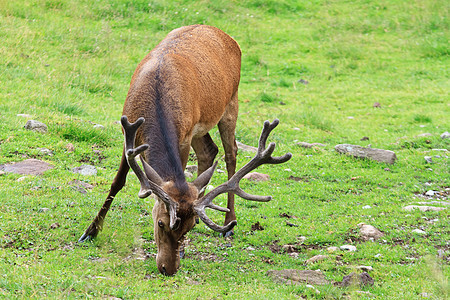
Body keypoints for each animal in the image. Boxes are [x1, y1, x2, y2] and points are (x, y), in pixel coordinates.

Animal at [78, 24, 292, 276]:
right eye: (161, 223)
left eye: (187, 228)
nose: (168, 269)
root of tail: (223, 33)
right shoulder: (127, 130)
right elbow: (117, 182)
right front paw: (90, 232)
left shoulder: (185, 136)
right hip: (203, 124)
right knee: (210, 150)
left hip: (231, 102)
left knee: (231, 153)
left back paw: (229, 221)